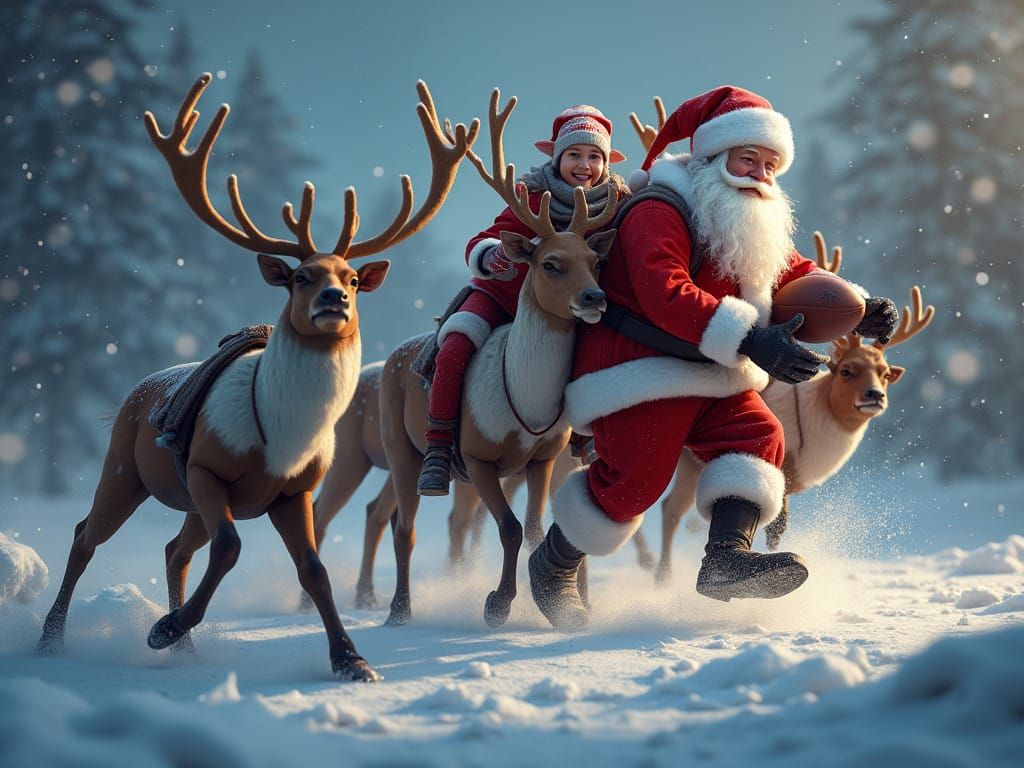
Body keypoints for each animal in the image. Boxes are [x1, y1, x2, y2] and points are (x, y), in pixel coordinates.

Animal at [34, 73, 478, 682]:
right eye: (300, 277)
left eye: (352, 278)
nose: (335, 300)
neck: (280, 437)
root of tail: (133, 391)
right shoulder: (205, 469)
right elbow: (230, 548)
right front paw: (162, 628)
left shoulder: (295, 491)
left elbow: (313, 568)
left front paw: (352, 660)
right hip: (125, 468)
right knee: (86, 535)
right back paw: (52, 639)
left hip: (180, 498)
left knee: (175, 549)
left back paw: (186, 649)